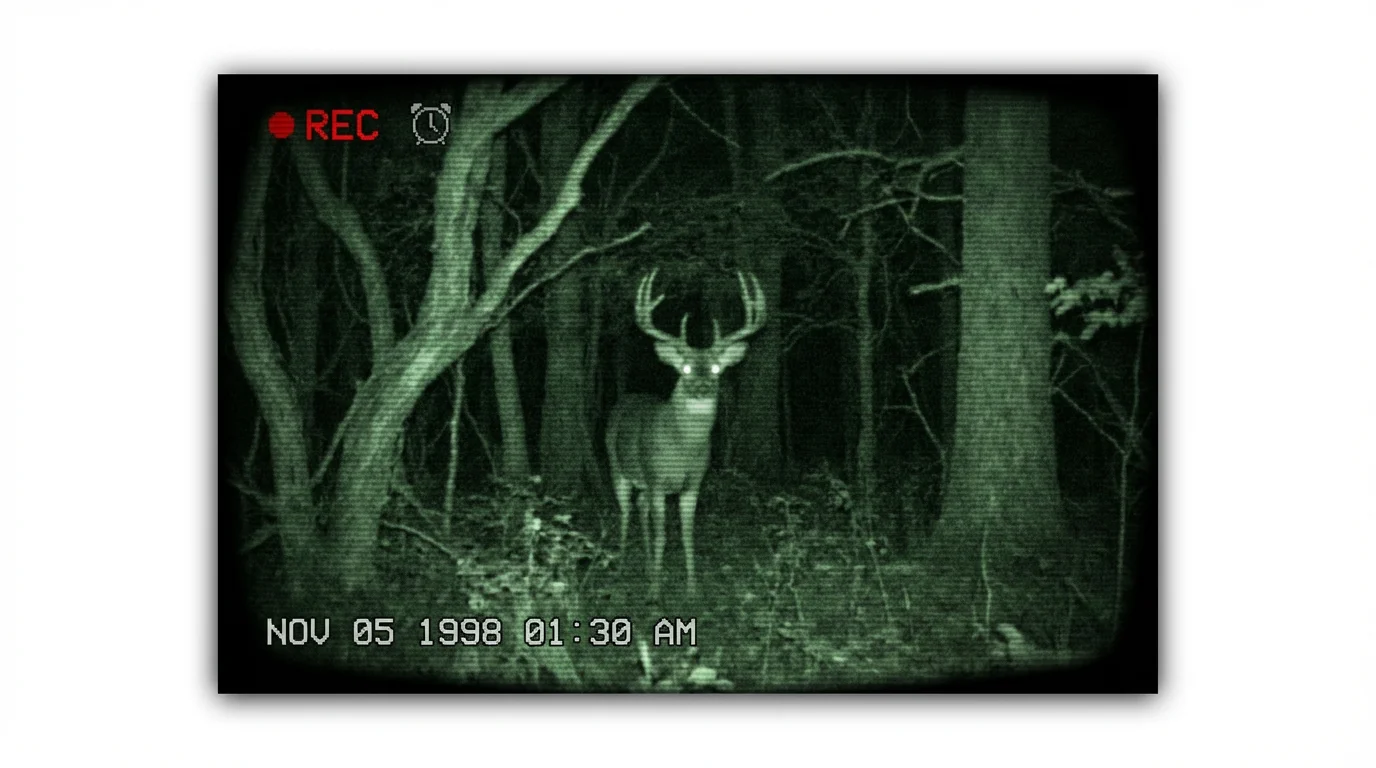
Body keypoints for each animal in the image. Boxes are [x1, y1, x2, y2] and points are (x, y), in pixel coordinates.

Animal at [604, 268, 768, 602]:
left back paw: (646, 565)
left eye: (716, 368)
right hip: (617, 465)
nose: (703, 387)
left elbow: (687, 533)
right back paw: (623, 563)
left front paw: (692, 588)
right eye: (687, 369)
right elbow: (664, 534)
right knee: (625, 510)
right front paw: (654, 592)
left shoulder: (694, 482)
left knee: (639, 507)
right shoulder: (656, 478)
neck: (682, 448)